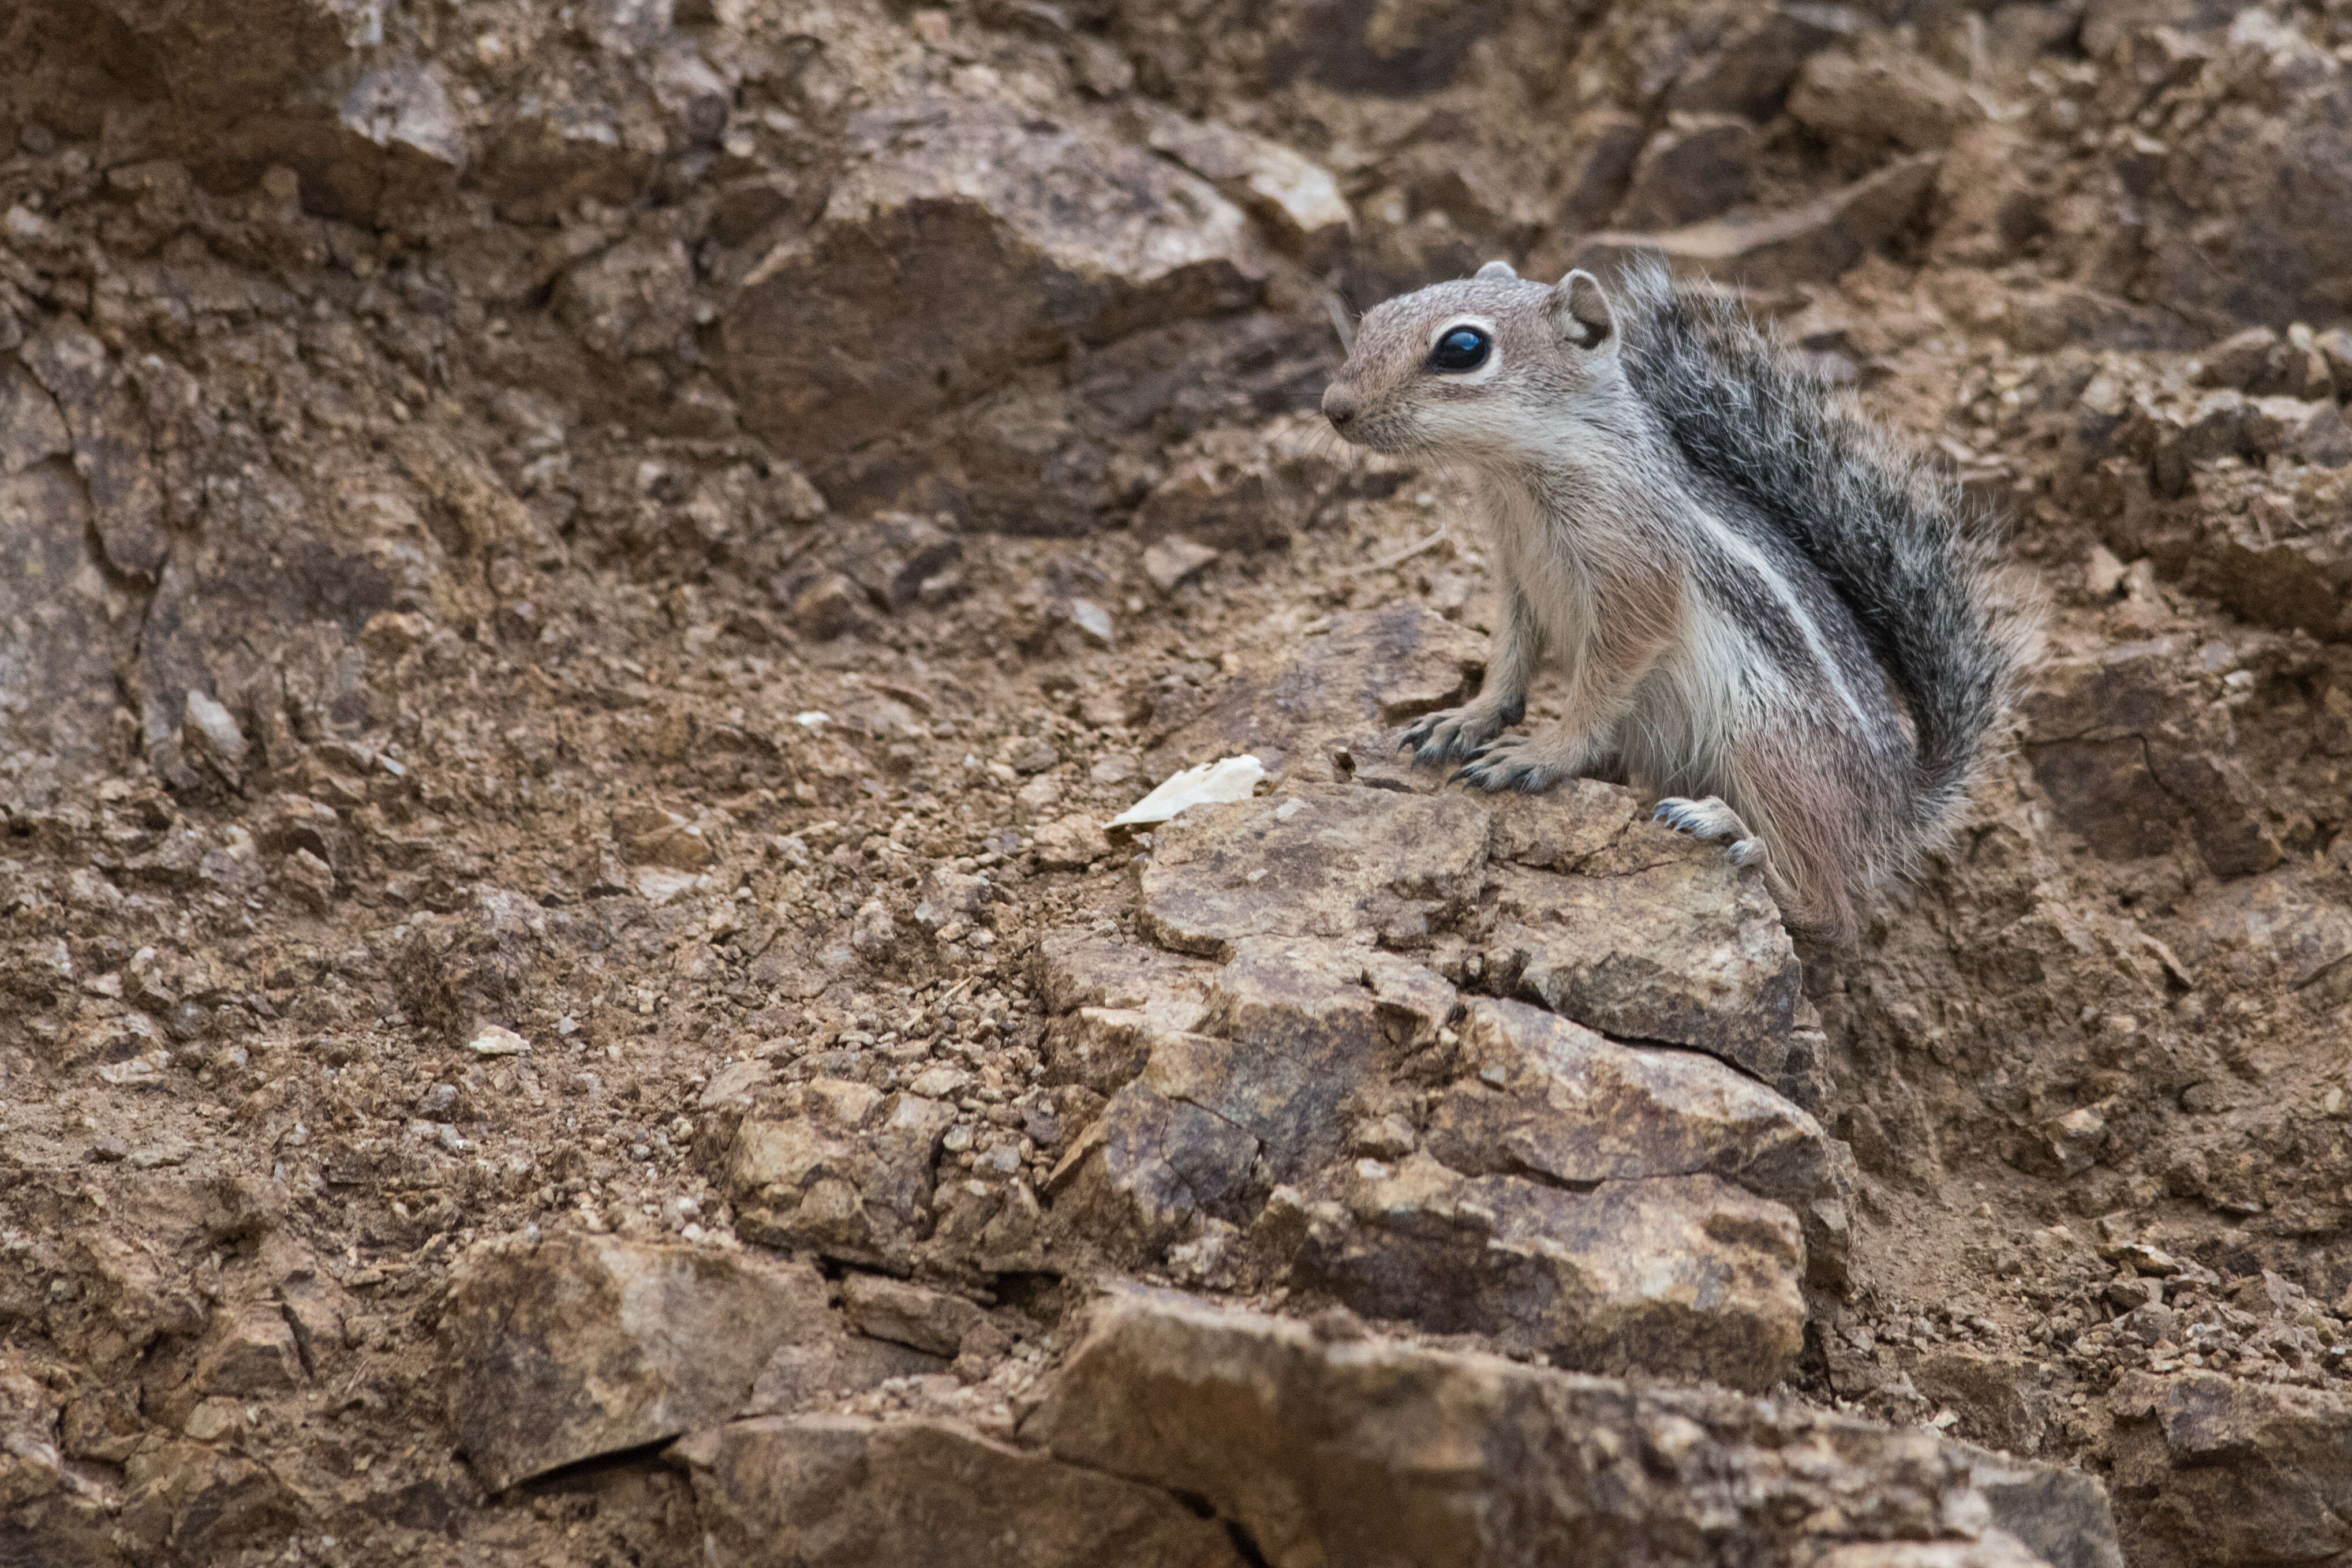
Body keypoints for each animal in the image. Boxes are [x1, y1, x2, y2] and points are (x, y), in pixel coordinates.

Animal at [1336, 261, 2032, 945]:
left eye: (1463, 348)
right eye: (1371, 317)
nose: (1333, 407)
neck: (1519, 475)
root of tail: (1897, 803)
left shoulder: (1636, 581)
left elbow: (1600, 683)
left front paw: (1545, 751)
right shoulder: (1515, 576)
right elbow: (1507, 655)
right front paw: (1468, 717)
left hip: (1767, 747)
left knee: (1833, 914)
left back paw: (1733, 835)